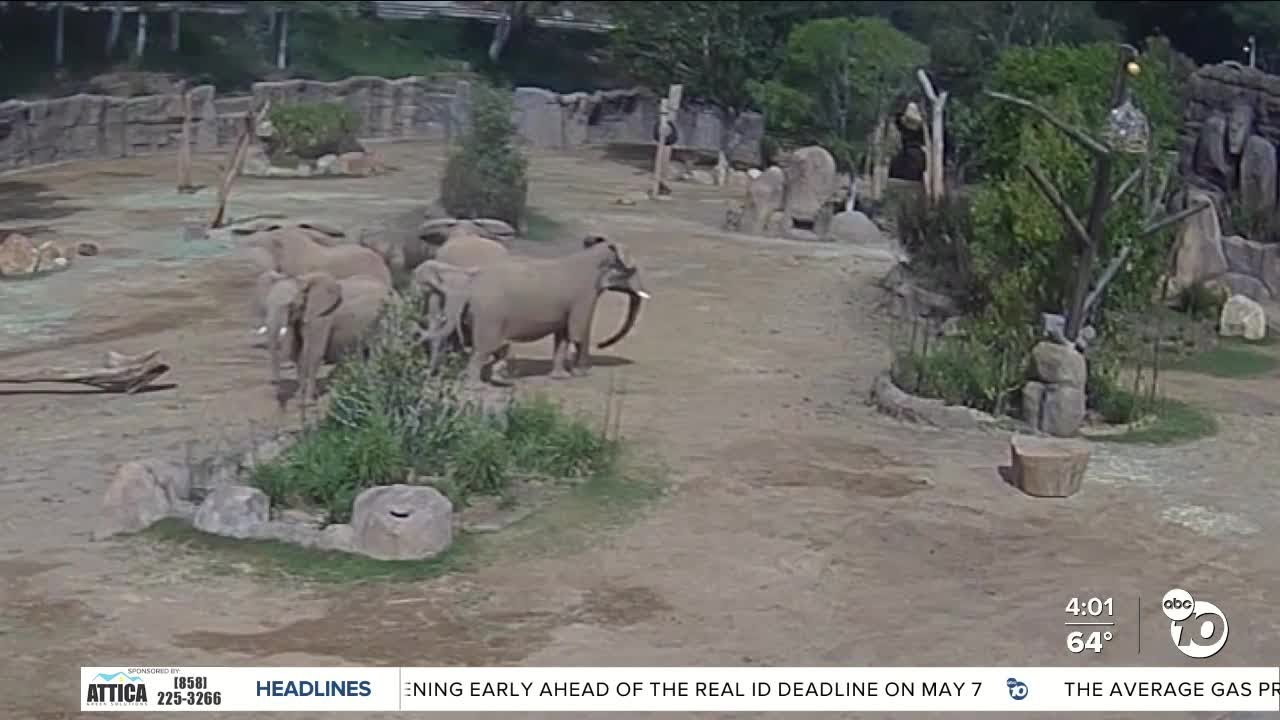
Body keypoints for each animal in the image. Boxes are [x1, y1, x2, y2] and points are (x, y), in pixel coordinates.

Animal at [263, 271, 393, 404]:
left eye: (289, 305)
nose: (275, 383)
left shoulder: (322, 316)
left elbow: (314, 352)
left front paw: (308, 402)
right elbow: (297, 352)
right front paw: (300, 397)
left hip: (384, 318)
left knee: (379, 350)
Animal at [417, 237, 650, 385]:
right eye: (633, 270)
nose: (603, 345)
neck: (594, 256)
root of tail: (473, 285)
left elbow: (563, 335)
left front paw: (561, 378)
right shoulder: (584, 295)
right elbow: (578, 331)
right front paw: (582, 374)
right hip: (489, 316)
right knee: (483, 347)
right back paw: (475, 386)